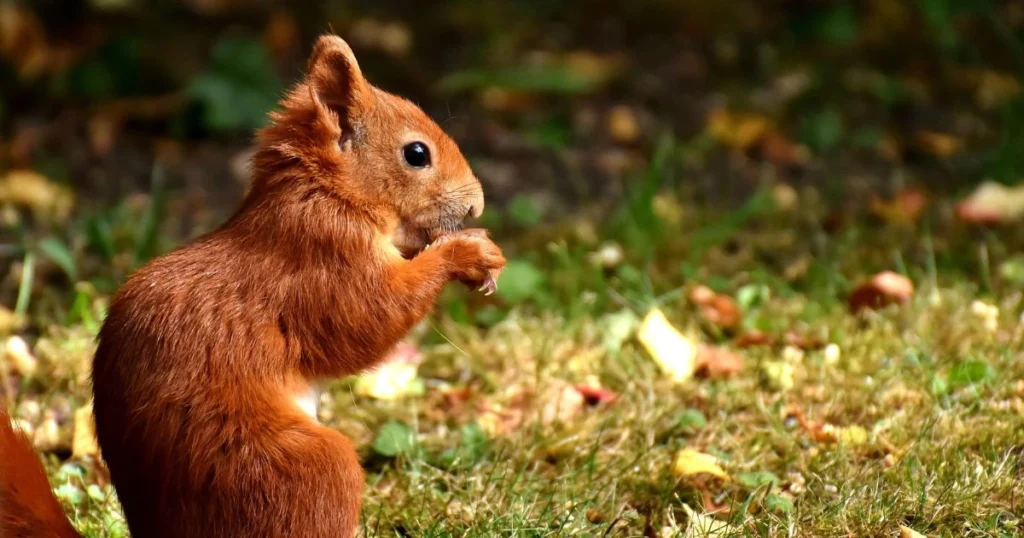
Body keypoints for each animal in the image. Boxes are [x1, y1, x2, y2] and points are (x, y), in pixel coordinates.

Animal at [2, 35, 505, 532]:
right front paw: (467, 253)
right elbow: (368, 320)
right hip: (294, 466)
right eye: (416, 154)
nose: (477, 205)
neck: (324, 194)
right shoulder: (323, 262)